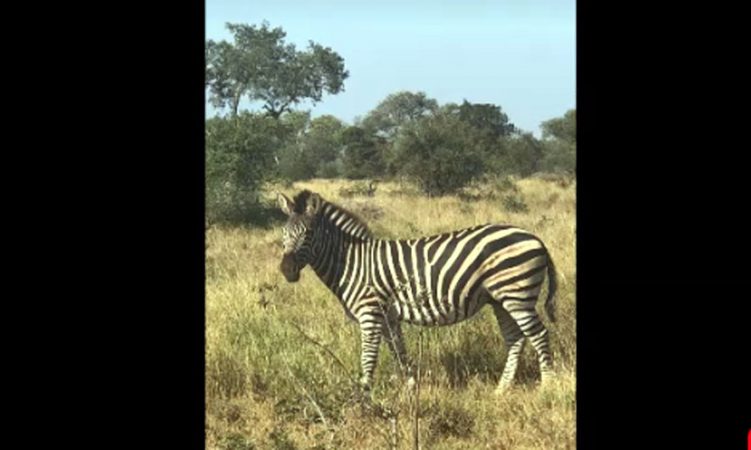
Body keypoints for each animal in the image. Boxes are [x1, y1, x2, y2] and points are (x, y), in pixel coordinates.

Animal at [276, 189, 558, 395]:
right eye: (284, 233)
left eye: (309, 234)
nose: (286, 270)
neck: (352, 262)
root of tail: (535, 237)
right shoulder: (388, 317)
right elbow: (399, 351)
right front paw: (411, 388)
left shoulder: (370, 313)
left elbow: (368, 356)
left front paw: (363, 394)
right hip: (501, 299)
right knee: (516, 339)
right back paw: (501, 389)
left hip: (517, 294)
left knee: (539, 334)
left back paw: (547, 387)